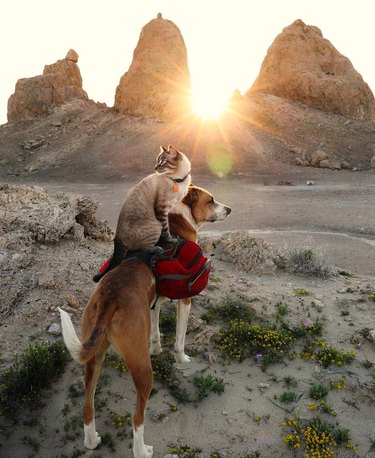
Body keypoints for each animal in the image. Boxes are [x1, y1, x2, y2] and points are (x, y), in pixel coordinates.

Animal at [58, 184, 231, 456]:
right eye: (211, 200)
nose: (230, 209)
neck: (178, 222)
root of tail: (109, 301)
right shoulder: (185, 300)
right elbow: (179, 339)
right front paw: (181, 359)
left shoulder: (154, 303)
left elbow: (157, 330)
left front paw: (157, 348)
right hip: (141, 368)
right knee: (137, 418)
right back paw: (142, 450)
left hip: (93, 358)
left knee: (87, 406)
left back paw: (92, 440)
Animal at [93, 146, 192, 282]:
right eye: (158, 161)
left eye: (162, 162)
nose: (155, 168)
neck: (178, 180)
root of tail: (117, 238)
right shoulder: (162, 209)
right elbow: (166, 229)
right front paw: (172, 240)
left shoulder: (171, 208)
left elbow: (171, 224)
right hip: (155, 226)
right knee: (143, 248)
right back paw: (157, 248)